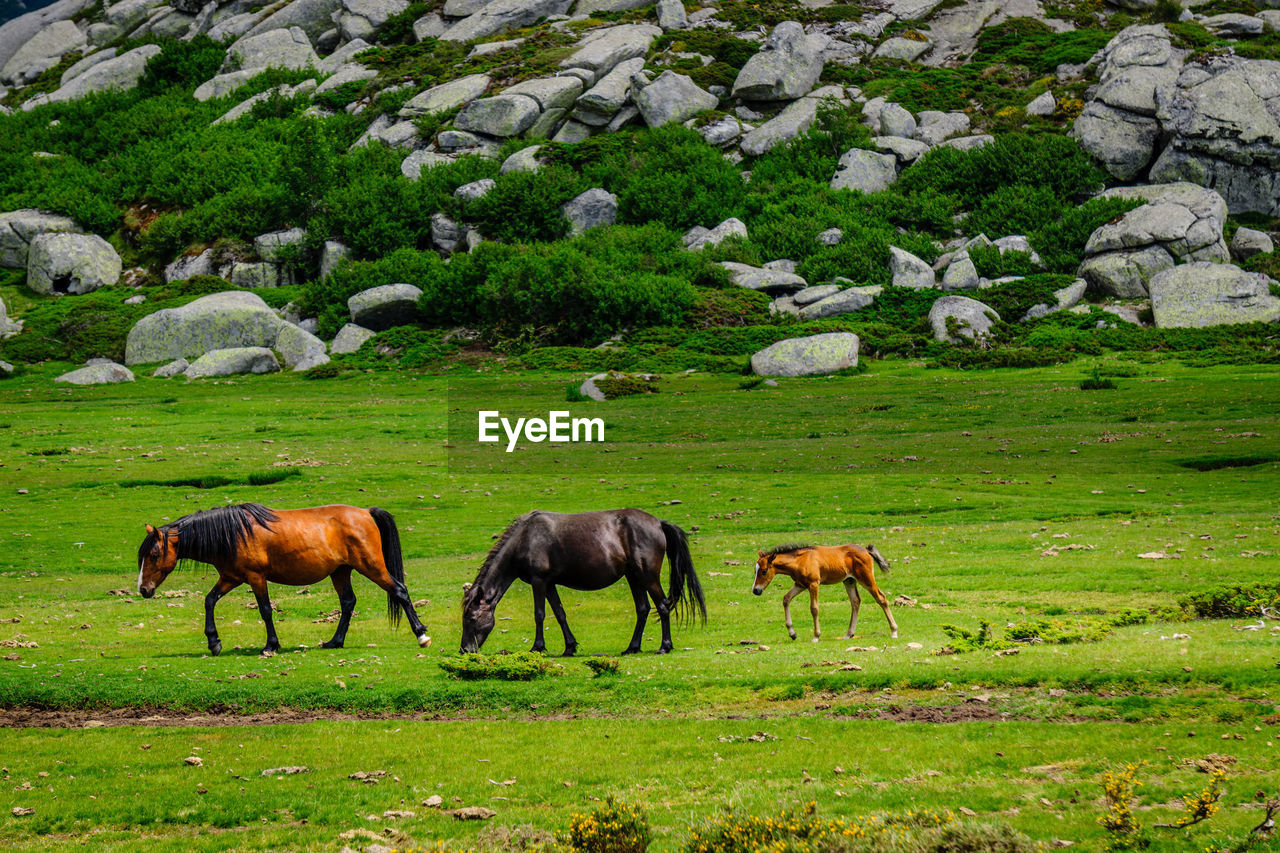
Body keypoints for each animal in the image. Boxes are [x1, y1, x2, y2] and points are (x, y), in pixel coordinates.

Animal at [136, 502, 430, 653]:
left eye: (153, 554)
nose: (143, 589)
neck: (232, 534)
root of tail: (366, 513)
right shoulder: (231, 577)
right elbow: (209, 601)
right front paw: (214, 642)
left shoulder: (256, 578)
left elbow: (265, 610)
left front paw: (271, 646)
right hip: (340, 571)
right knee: (348, 602)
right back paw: (335, 642)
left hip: (371, 566)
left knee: (399, 590)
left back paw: (421, 635)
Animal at [458, 507, 706, 653]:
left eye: (471, 618)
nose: (465, 650)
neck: (525, 538)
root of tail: (657, 523)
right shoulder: (549, 584)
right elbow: (559, 613)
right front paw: (569, 647)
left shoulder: (539, 581)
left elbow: (539, 615)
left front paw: (538, 647)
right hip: (633, 576)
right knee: (643, 609)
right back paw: (632, 647)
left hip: (647, 576)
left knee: (662, 606)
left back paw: (665, 646)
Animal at [747, 545, 901, 637]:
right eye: (755, 570)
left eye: (764, 571)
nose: (756, 590)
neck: (800, 561)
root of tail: (866, 550)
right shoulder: (800, 584)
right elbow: (786, 599)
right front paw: (792, 633)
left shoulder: (814, 584)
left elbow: (814, 608)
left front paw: (816, 636)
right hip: (849, 581)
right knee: (855, 601)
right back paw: (848, 634)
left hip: (866, 578)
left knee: (881, 598)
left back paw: (893, 631)